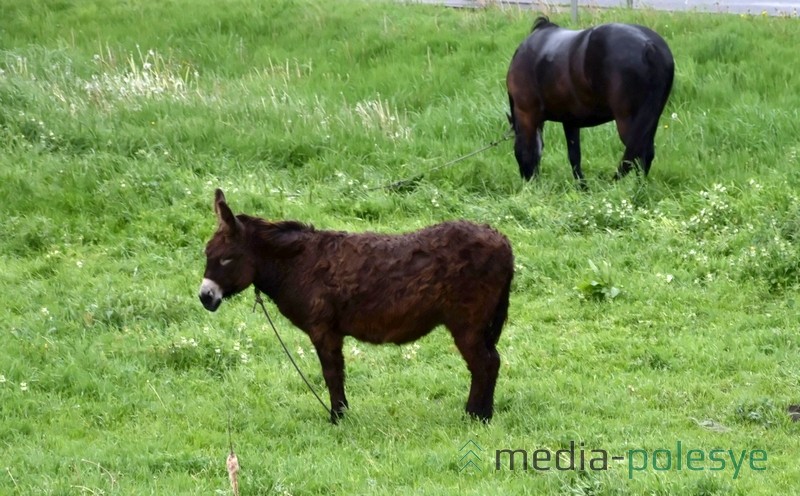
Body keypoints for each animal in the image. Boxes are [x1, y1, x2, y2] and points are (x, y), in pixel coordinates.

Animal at [197, 189, 516, 422]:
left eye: (226, 259)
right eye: (207, 255)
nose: (205, 297)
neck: (299, 264)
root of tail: (501, 239)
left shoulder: (323, 329)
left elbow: (332, 374)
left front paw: (337, 418)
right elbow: (336, 372)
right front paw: (341, 414)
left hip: (467, 322)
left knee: (485, 364)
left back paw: (476, 417)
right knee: (491, 361)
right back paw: (482, 414)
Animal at [506, 17, 676, 185]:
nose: (529, 182)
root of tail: (650, 46)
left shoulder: (527, 114)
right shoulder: (570, 121)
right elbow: (574, 156)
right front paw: (582, 187)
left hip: (629, 122)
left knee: (638, 154)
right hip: (650, 120)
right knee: (645, 154)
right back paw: (640, 187)